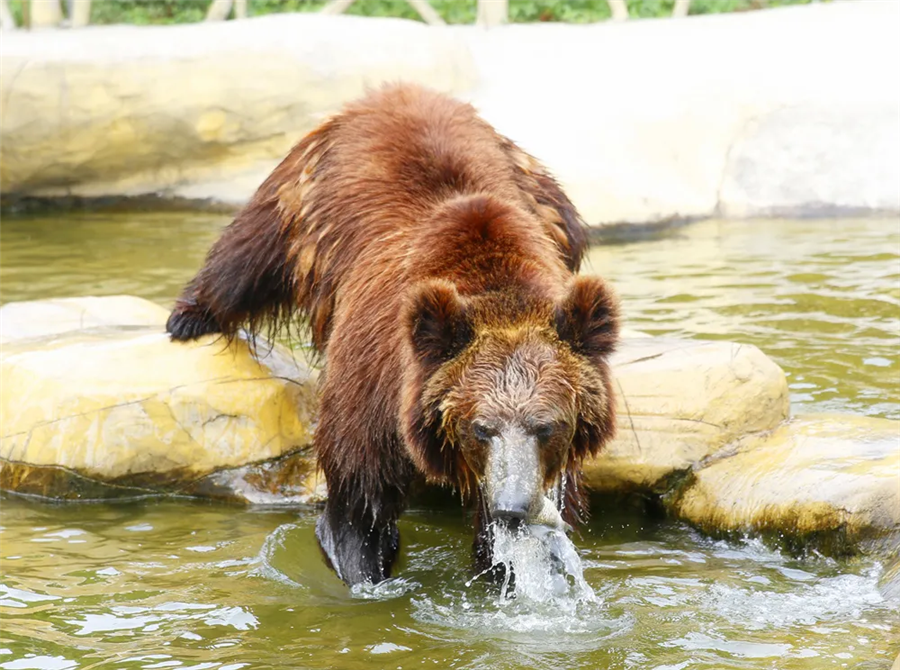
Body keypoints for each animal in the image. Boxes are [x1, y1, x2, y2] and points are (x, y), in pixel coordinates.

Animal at [167, 84, 620, 588]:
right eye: (480, 427)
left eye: (546, 426)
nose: (513, 506)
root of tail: (398, 90)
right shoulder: (372, 382)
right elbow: (358, 501)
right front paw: (364, 569)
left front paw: (501, 565)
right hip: (299, 196)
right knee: (246, 256)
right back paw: (188, 317)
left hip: (551, 204)